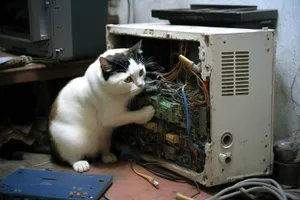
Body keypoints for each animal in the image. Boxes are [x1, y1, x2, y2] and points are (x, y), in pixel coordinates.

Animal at [48, 40, 155, 172]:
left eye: (141, 72)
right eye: (128, 79)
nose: (140, 85)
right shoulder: (110, 117)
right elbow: (130, 116)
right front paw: (146, 113)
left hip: (105, 136)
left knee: (103, 149)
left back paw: (107, 156)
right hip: (72, 140)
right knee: (69, 157)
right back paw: (79, 164)